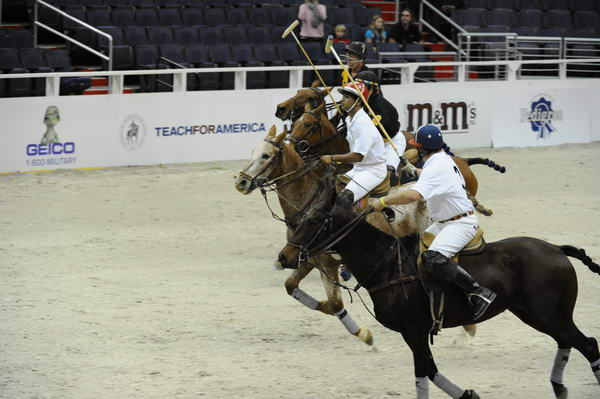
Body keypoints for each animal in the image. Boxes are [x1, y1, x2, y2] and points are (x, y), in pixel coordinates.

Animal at [278, 168, 600, 399]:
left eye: (314, 220)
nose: (285, 256)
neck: (387, 264)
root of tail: (557, 248)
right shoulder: (413, 332)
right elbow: (431, 371)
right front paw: (468, 394)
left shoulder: (415, 329)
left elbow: (423, 371)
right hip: (535, 314)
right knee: (568, 343)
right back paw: (558, 387)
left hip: (551, 314)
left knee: (588, 344)